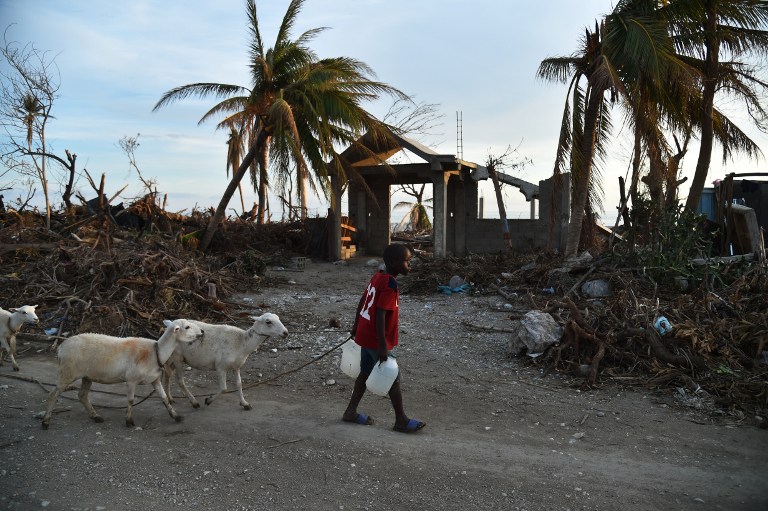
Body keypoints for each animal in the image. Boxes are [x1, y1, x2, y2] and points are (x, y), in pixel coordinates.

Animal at [41, 318, 204, 430]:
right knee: (53, 395)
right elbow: (131, 400)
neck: (156, 352)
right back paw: (46, 421)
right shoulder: (131, 380)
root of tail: (61, 347)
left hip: (87, 376)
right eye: (187, 327)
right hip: (67, 372)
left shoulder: (155, 380)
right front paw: (129, 421)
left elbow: (164, 398)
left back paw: (96, 416)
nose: (202, 332)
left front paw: (176, 416)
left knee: (82, 395)